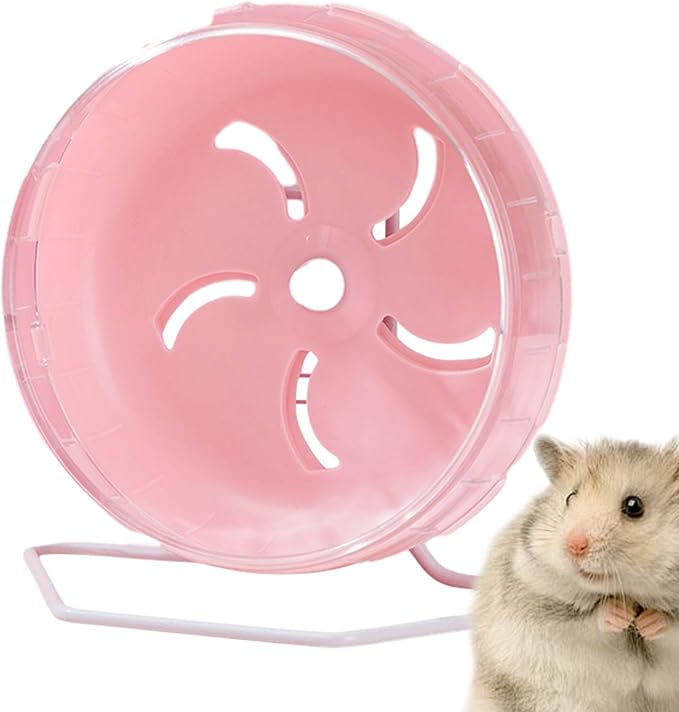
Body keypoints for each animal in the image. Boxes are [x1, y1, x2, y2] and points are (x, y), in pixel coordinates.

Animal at [465, 436, 679, 712]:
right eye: (570, 497)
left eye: (634, 506)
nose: (574, 546)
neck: (630, 592)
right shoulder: (538, 605)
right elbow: (588, 619)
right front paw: (621, 613)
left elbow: (670, 622)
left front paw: (647, 622)